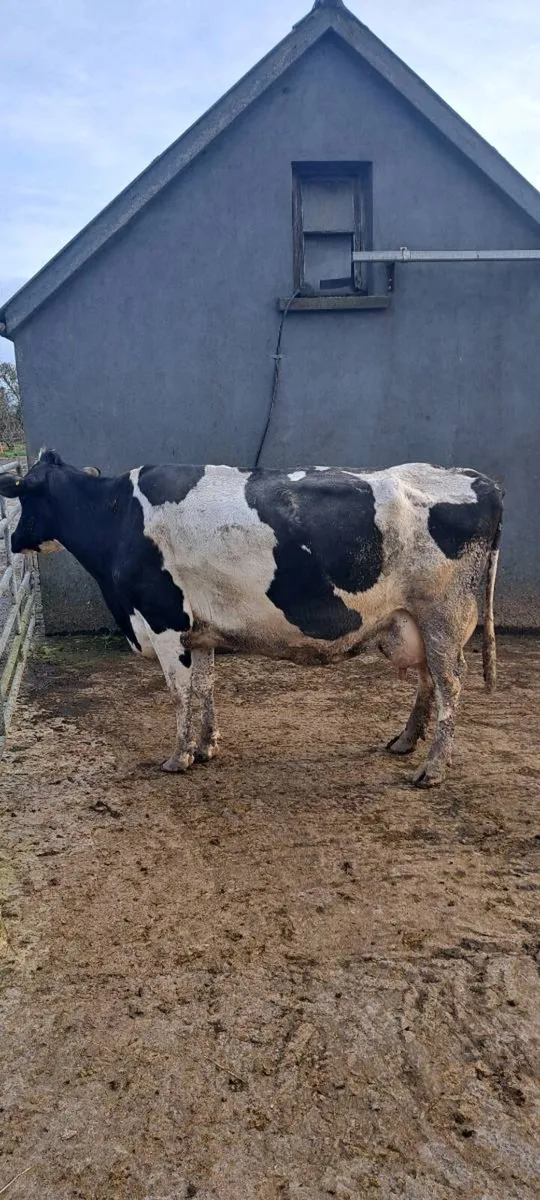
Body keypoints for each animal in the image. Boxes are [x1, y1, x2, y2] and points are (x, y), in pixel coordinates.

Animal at [0, 450, 503, 787]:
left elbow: (180, 694)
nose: (14, 540)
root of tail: (480, 480)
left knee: (450, 685)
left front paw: (178, 757)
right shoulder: (198, 631)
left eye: (24, 494)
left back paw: (432, 768)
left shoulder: (163, 622)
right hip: (413, 621)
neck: (118, 515)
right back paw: (405, 741)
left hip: (444, 616)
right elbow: (205, 687)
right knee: (427, 680)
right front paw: (206, 747)